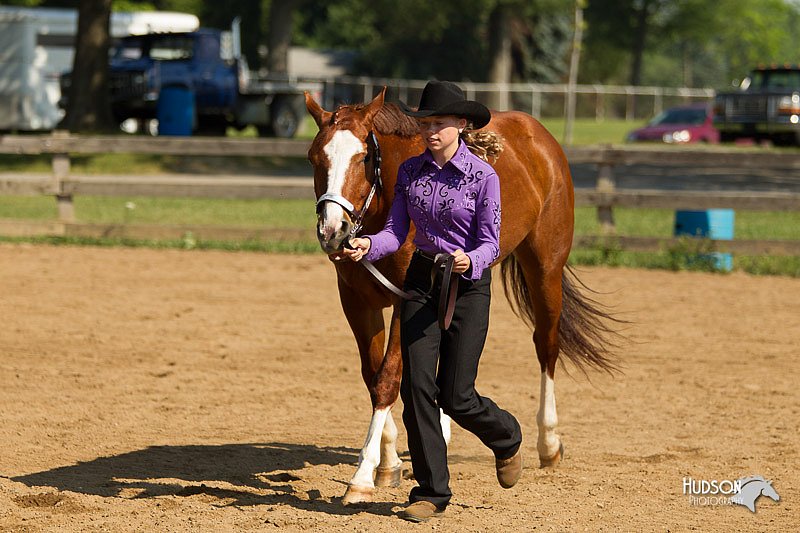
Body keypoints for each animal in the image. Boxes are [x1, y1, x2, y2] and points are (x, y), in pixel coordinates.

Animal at [306, 87, 620, 502]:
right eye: (314, 157)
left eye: (365, 157)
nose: (333, 230)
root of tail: (539, 136)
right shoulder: (357, 301)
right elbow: (372, 376)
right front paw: (388, 465)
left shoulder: (407, 299)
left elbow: (388, 378)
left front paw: (361, 477)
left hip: (545, 270)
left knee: (547, 346)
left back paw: (549, 444)